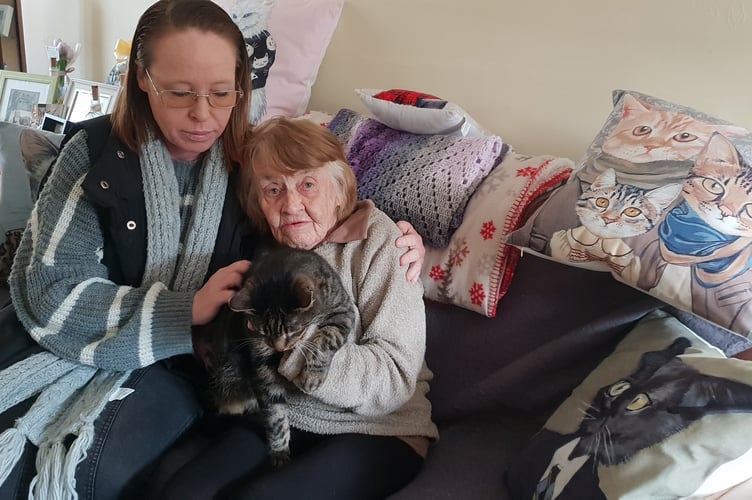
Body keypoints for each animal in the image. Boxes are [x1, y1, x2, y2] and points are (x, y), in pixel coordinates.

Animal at [195, 246, 356, 464]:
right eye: (262, 332)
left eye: (293, 330)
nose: (278, 348)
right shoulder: (261, 360)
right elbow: (275, 412)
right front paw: (279, 450)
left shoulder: (344, 311)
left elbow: (326, 338)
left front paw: (312, 376)